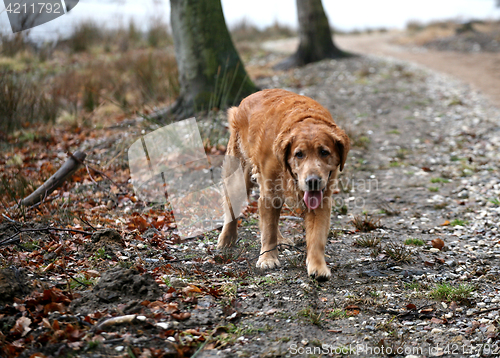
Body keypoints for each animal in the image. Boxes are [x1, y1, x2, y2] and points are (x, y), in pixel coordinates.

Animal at [217, 89, 350, 280]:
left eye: (324, 152)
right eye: (299, 154)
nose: (313, 181)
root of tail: (244, 101)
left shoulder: (322, 200)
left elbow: (316, 238)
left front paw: (318, 267)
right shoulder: (270, 194)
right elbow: (268, 231)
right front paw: (268, 259)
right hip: (238, 176)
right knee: (231, 206)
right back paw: (227, 238)